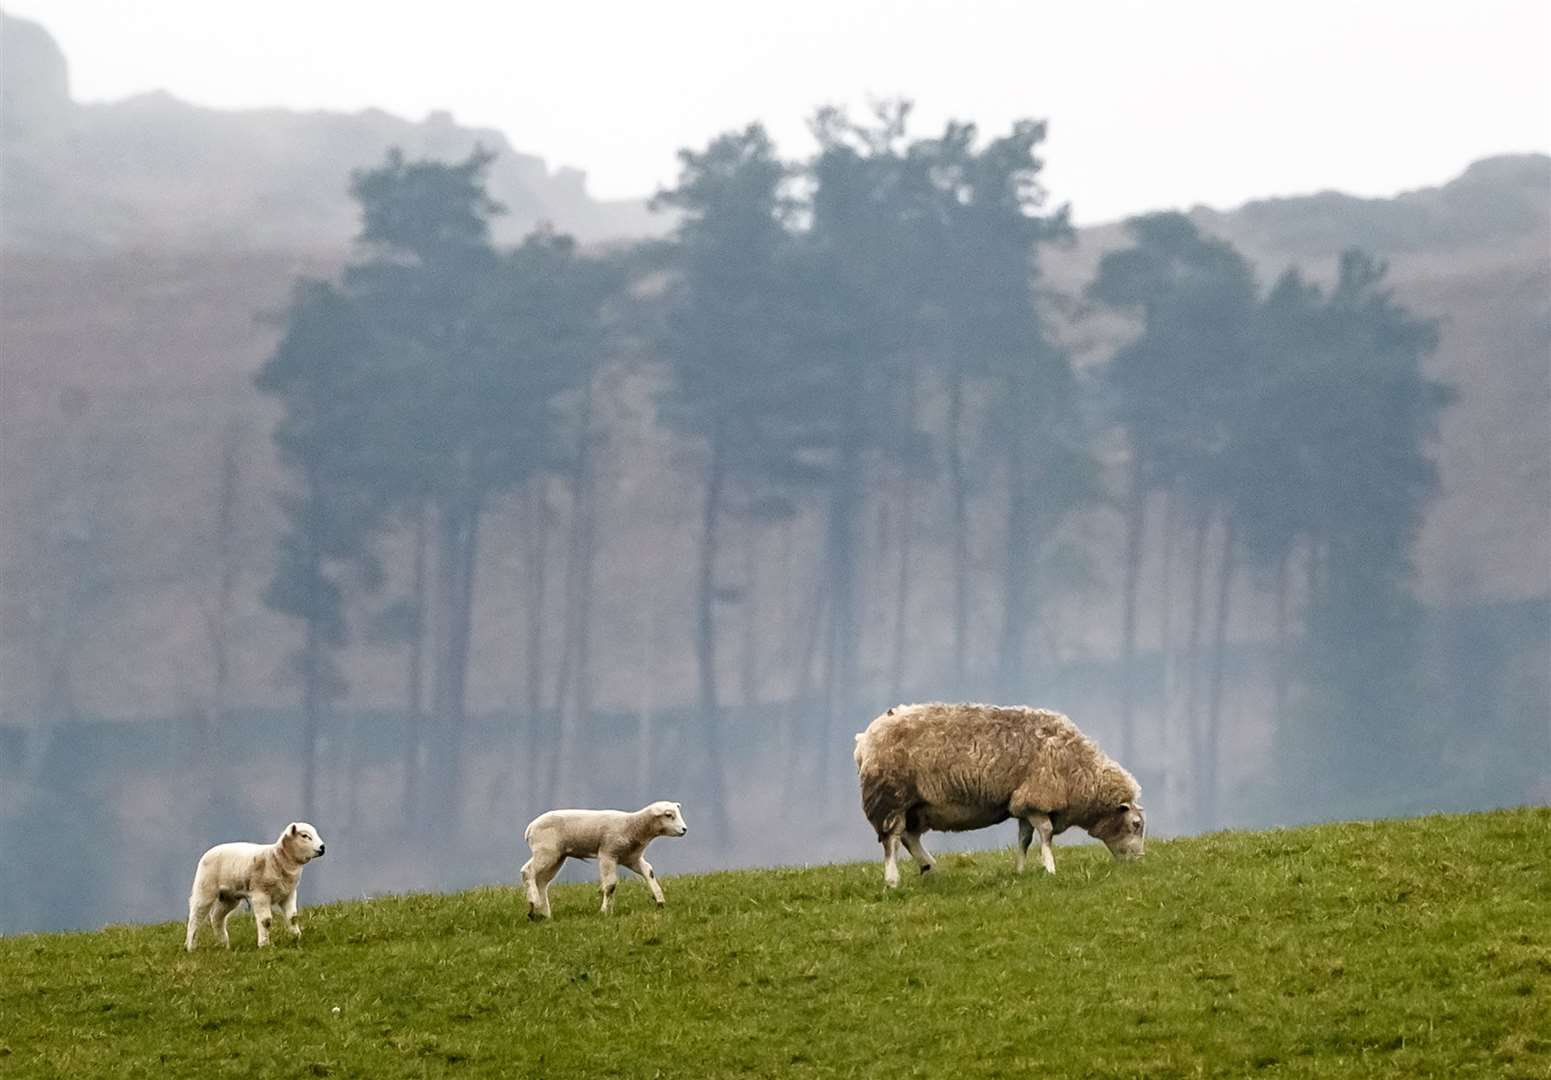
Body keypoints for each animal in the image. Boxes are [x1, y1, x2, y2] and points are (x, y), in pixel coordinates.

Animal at [183, 825, 325, 949]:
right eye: (305, 836)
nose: (322, 847)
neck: (276, 859)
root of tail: (209, 852)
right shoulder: (260, 894)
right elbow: (266, 921)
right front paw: (264, 945)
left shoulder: (289, 893)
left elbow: (293, 918)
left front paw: (296, 938)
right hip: (205, 888)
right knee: (196, 917)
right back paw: (191, 946)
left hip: (229, 897)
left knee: (217, 917)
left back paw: (224, 945)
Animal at [521, 800, 685, 918]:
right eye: (669, 815)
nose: (684, 829)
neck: (632, 826)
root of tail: (530, 828)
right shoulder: (608, 854)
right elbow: (611, 885)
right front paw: (605, 912)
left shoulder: (631, 858)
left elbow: (648, 871)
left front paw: (660, 900)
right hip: (546, 851)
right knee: (527, 871)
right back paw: (533, 902)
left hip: (557, 856)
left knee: (542, 882)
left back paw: (543, 913)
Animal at [856, 701, 1147, 887]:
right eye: (1135, 824)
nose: (1140, 861)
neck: (1079, 771)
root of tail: (865, 738)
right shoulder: (1037, 797)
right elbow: (1045, 834)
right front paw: (1050, 868)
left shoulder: (1022, 803)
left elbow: (1024, 839)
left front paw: (1020, 870)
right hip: (890, 796)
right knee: (892, 840)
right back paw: (892, 880)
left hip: (918, 806)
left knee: (909, 837)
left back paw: (930, 867)